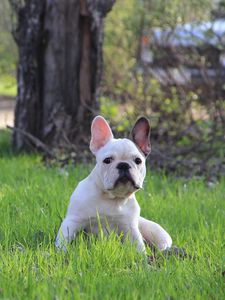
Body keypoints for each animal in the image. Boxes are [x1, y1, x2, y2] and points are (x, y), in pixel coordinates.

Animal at [55, 116, 171, 252]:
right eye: (107, 160)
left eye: (138, 160)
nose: (123, 165)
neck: (111, 198)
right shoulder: (73, 221)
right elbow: (63, 240)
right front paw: (61, 253)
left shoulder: (130, 228)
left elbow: (138, 246)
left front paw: (143, 257)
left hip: (158, 233)